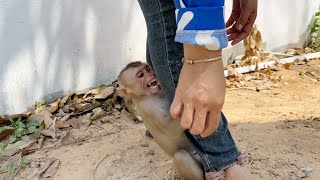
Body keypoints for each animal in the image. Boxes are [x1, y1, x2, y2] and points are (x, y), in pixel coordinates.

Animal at [117, 62, 248, 180]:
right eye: (141, 75)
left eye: (148, 69)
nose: (151, 75)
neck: (148, 95)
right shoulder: (148, 107)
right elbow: (171, 130)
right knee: (181, 156)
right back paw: (209, 177)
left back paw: (241, 158)